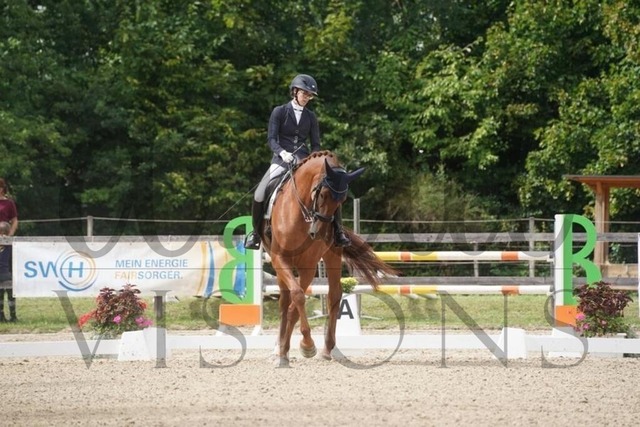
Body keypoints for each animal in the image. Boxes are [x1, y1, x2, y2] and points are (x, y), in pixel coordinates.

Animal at [260, 150, 397, 367]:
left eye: (342, 201)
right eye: (322, 194)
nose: (321, 233)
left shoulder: (308, 266)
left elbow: (297, 302)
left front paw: (306, 346)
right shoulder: (280, 258)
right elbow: (297, 297)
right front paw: (299, 347)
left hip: (332, 255)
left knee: (333, 295)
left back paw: (323, 348)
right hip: (281, 264)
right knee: (285, 301)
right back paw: (279, 351)